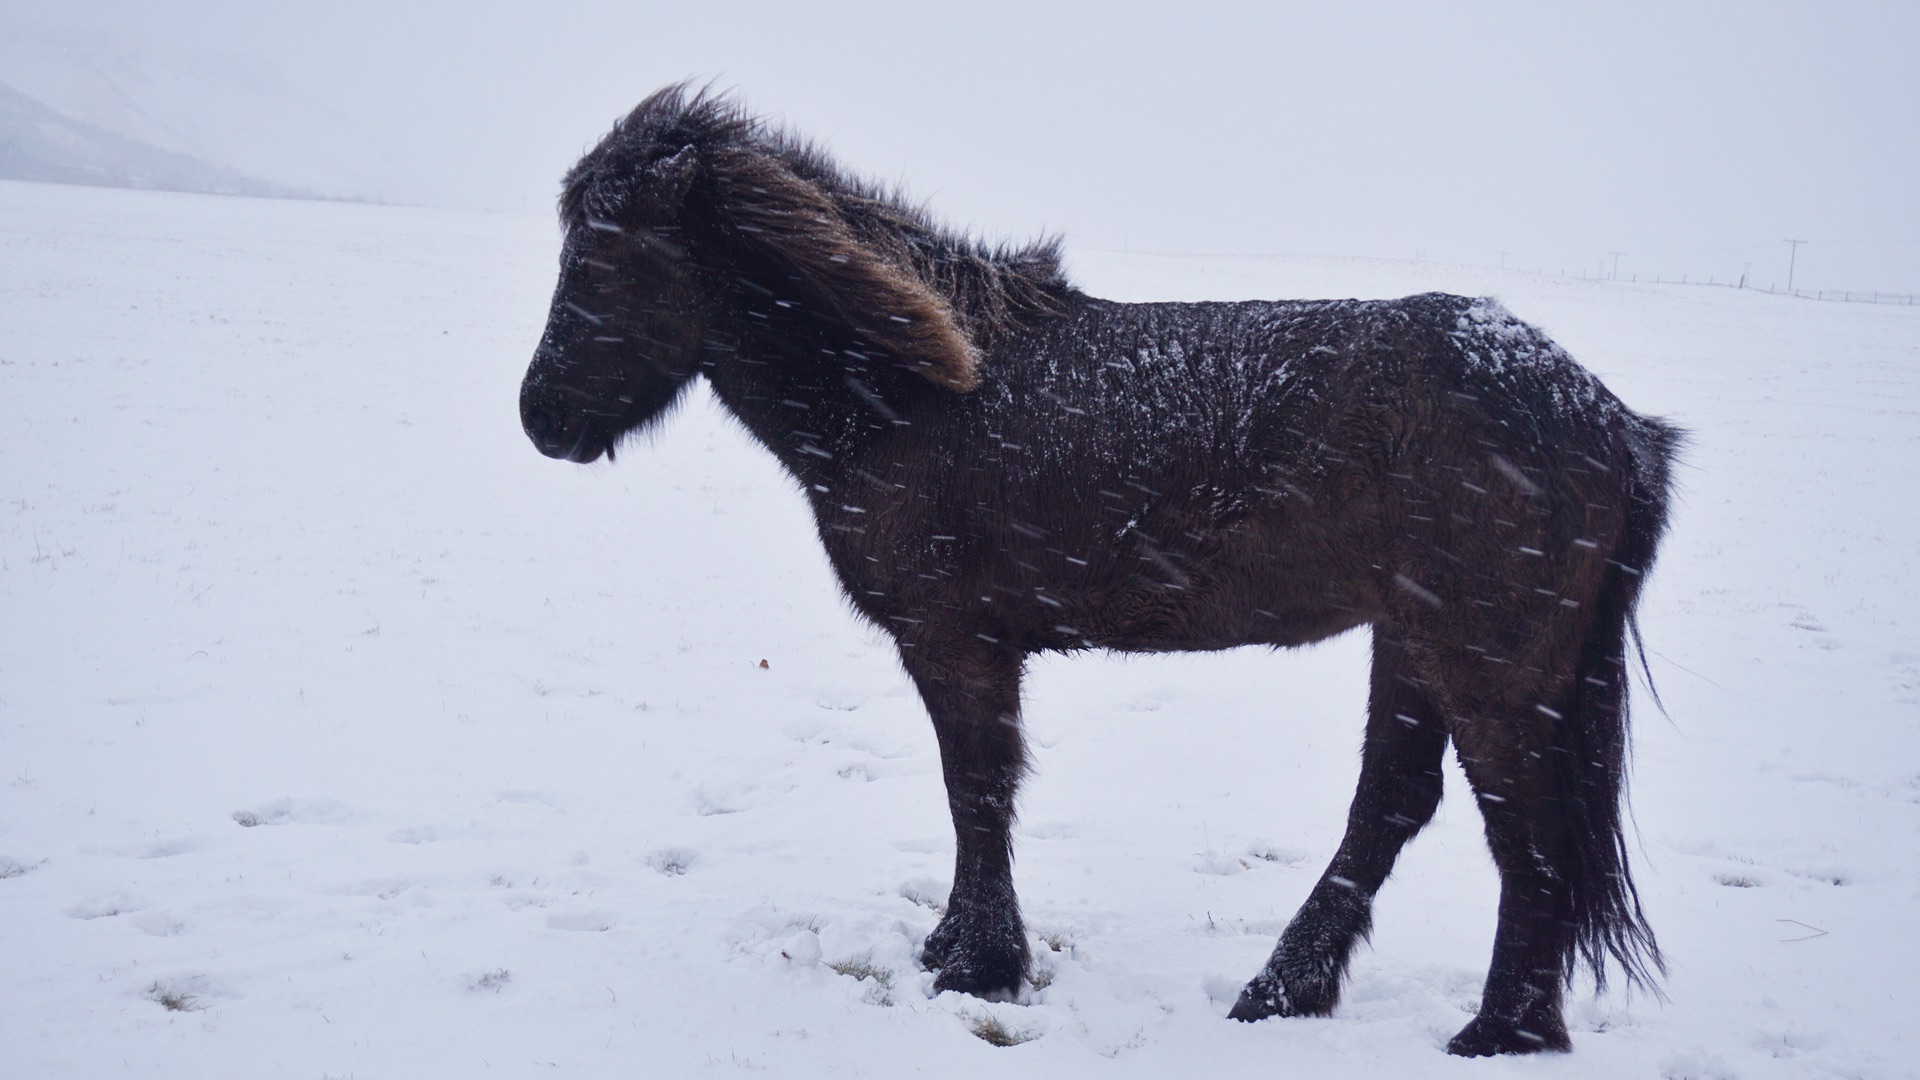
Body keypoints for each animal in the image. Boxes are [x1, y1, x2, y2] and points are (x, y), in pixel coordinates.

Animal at [518, 85, 1674, 1053]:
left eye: (604, 261)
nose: (541, 418)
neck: (909, 398)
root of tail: (1611, 418)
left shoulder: (958, 642)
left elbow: (977, 790)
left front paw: (978, 965)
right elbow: (977, 795)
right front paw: (961, 949)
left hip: (1488, 671)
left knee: (1524, 837)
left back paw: (1497, 1032)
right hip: (1415, 641)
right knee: (1393, 807)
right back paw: (1284, 992)